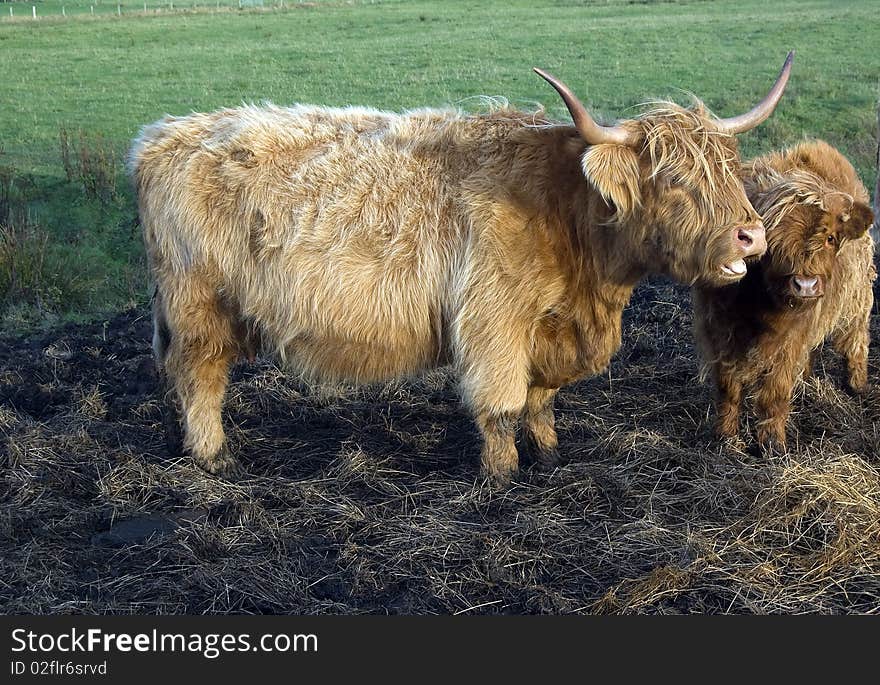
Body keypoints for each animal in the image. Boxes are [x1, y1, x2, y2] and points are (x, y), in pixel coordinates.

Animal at [129, 54, 792, 486]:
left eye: (729, 168)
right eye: (675, 181)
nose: (751, 233)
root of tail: (164, 135)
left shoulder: (548, 329)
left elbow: (541, 399)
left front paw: (550, 455)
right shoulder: (494, 320)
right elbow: (502, 405)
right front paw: (503, 480)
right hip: (199, 307)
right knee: (200, 377)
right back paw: (214, 458)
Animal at [696, 140, 872, 452]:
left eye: (829, 238)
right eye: (771, 242)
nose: (805, 284)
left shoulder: (790, 340)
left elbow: (775, 392)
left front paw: (772, 444)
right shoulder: (720, 330)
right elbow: (728, 388)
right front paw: (725, 437)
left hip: (857, 300)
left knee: (855, 341)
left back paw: (858, 386)